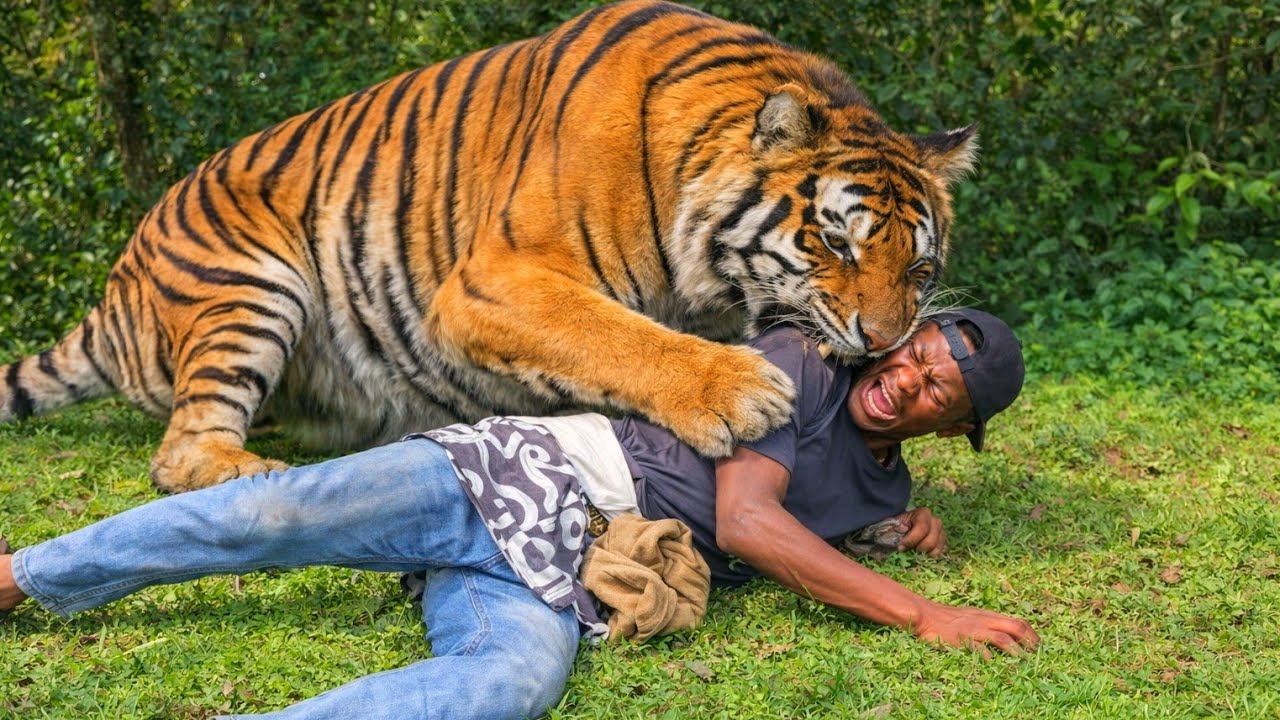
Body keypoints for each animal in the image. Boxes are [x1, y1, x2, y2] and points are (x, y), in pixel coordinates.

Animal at [0, 0, 978, 492]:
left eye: (919, 267)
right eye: (834, 243)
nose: (883, 342)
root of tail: (114, 288)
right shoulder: (494, 280)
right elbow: (614, 336)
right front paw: (734, 390)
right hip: (249, 283)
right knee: (181, 452)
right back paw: (254, 470)